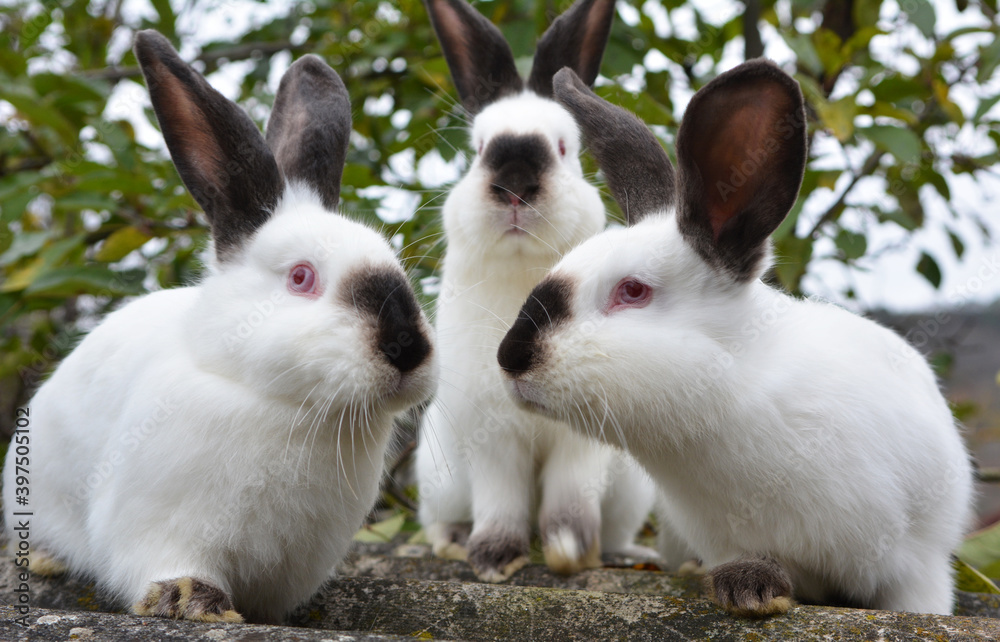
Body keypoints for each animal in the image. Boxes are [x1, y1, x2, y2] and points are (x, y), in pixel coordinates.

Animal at [1, 30, 437, 625]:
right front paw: (193, 601)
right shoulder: (155, 525)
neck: (283, 405)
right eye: (301, 277)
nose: (407, 349)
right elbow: (170, 566)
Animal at [414, 0, 659, 583]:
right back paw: (451, 541)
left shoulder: (584, 439)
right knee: (438, 516)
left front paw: (569, 552)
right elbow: (500, 500)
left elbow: (570, 498)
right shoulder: (490, 434)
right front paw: (494, 560)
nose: (515, 185)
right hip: (436, 473)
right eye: (480, 148)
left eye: (565, 148)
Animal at [497, 61, 975, 616]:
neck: (732, 393)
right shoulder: (730, 538)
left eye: (633, 291)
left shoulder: (918, 565)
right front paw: (749, 588)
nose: (510, 356)